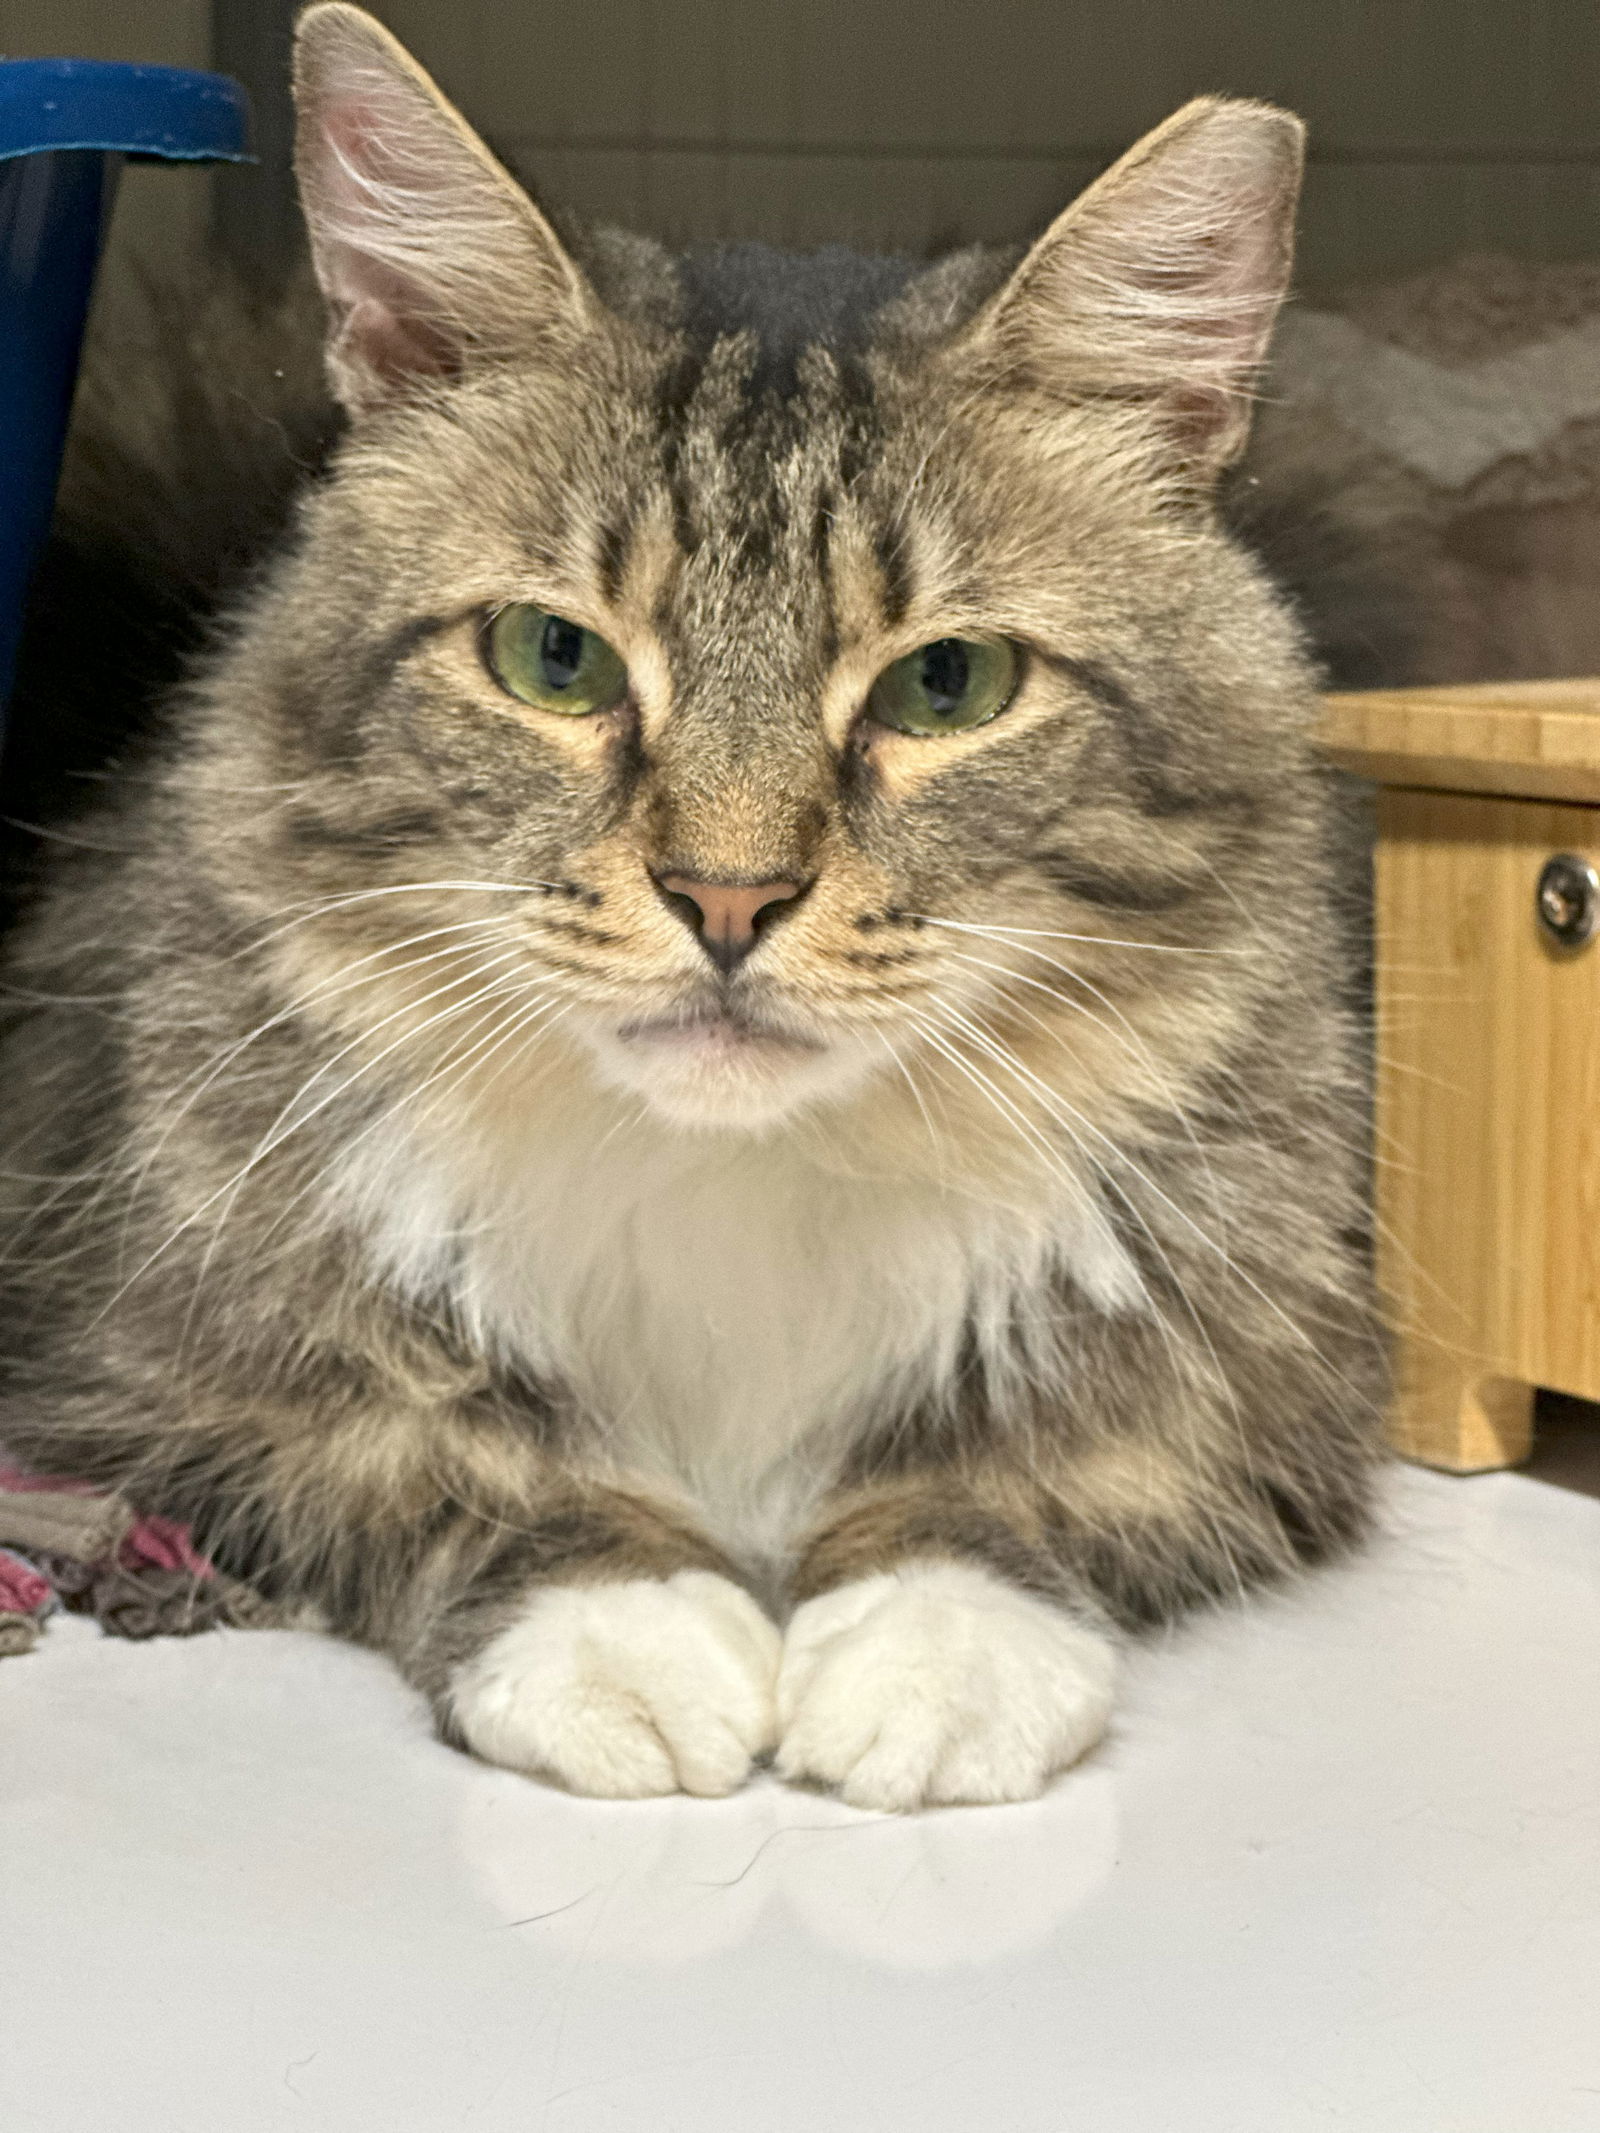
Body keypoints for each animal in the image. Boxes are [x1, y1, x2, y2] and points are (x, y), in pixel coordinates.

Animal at [0, 8, 1382, 1817]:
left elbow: (1022, 1467)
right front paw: (628, 1624)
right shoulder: (145, 1351)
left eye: (949, 684)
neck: (738, 1176)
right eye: (552, 659)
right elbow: (454, 1444)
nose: (728, 896)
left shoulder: (1273, 1365)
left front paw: (933, 1650)